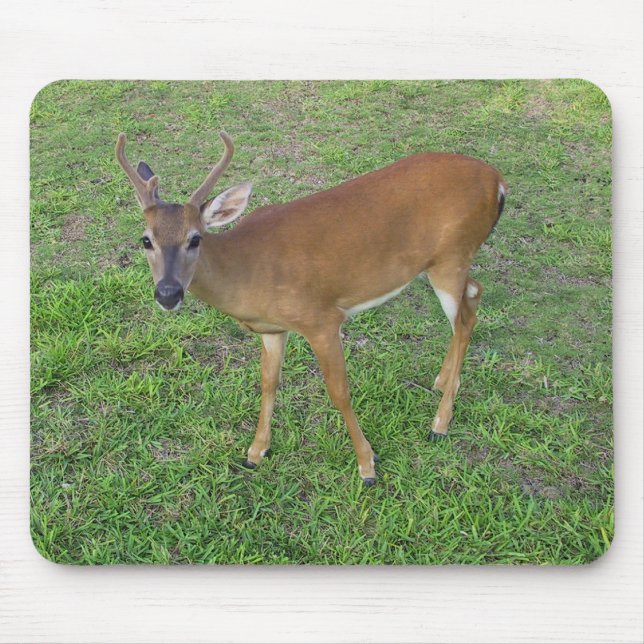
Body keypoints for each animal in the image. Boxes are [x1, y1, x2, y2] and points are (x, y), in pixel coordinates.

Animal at [115, 131, 507, 486]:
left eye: (195, 238)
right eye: (146, 240)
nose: (168, 293)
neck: (248, 272)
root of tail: (499, 182)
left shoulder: (321, 319)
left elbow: (339, 391)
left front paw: (367, 465)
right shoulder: (273, 330)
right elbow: (268, 383)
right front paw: (255, 452)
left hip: (452, 256)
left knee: (465, 317)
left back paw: (439, 423)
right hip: (445, 263)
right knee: (475, 294)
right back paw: (443, 382)